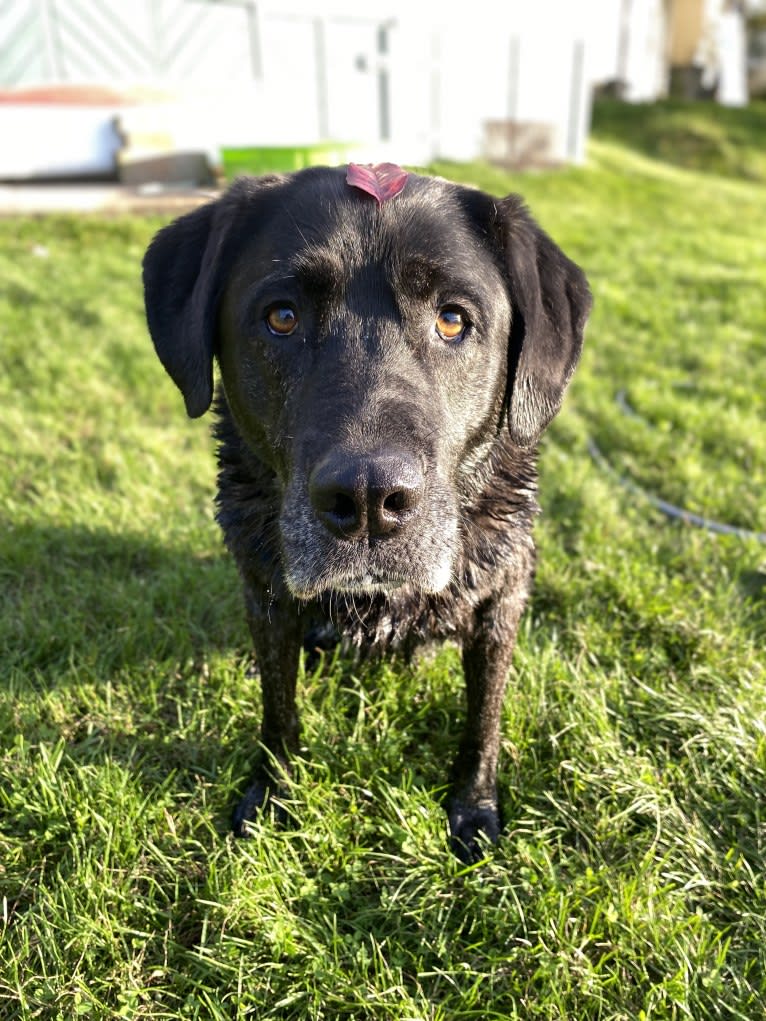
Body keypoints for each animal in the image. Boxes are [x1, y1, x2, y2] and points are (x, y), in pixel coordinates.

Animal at [140, 165, 592, 861]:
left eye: (453, 320)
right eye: (282, 317)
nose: (368, 501)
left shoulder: (501, 605)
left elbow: (483, 720)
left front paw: (474, 809)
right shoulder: (266, 599)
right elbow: (278, 709)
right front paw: (272, 795)